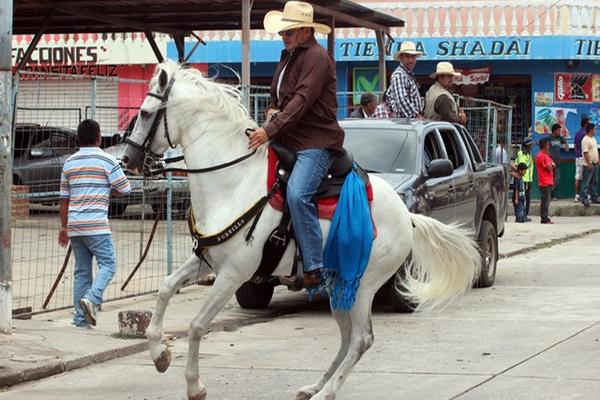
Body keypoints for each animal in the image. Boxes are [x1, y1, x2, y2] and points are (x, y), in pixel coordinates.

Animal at [120, 60, 478, 400]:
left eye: (145, 113)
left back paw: (327, 391)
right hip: (339, 285)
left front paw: (194, 386)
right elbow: (166, 287)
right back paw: (316, 386)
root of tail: (407, 216)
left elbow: (196, 325)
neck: (234, 182)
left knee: (361, 339)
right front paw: (159, 355)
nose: (127, 160)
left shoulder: (234, 273)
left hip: (363, 285)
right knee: (347, 338)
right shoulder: (208, 262)